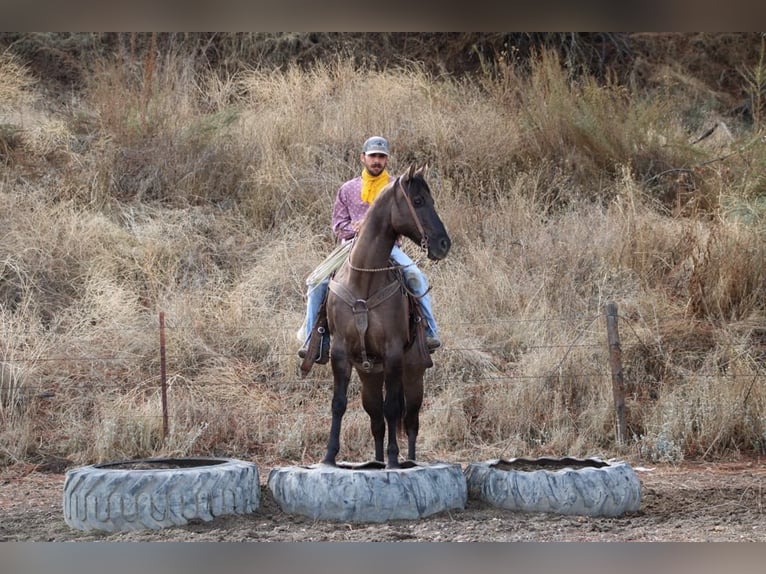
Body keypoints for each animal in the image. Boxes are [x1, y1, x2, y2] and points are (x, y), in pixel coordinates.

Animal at [322, 163, 452, 469]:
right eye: (418, 201)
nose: (444, 244)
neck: (364, 281)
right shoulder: (340, 352)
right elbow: (340, 403)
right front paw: (329, 456)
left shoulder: (393, 352)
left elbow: (394, 408)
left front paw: (394, 458)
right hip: (370, 375)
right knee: (377, 419)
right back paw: (377, 461)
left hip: (413, 375)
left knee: (411, 419)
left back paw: (409, 461)